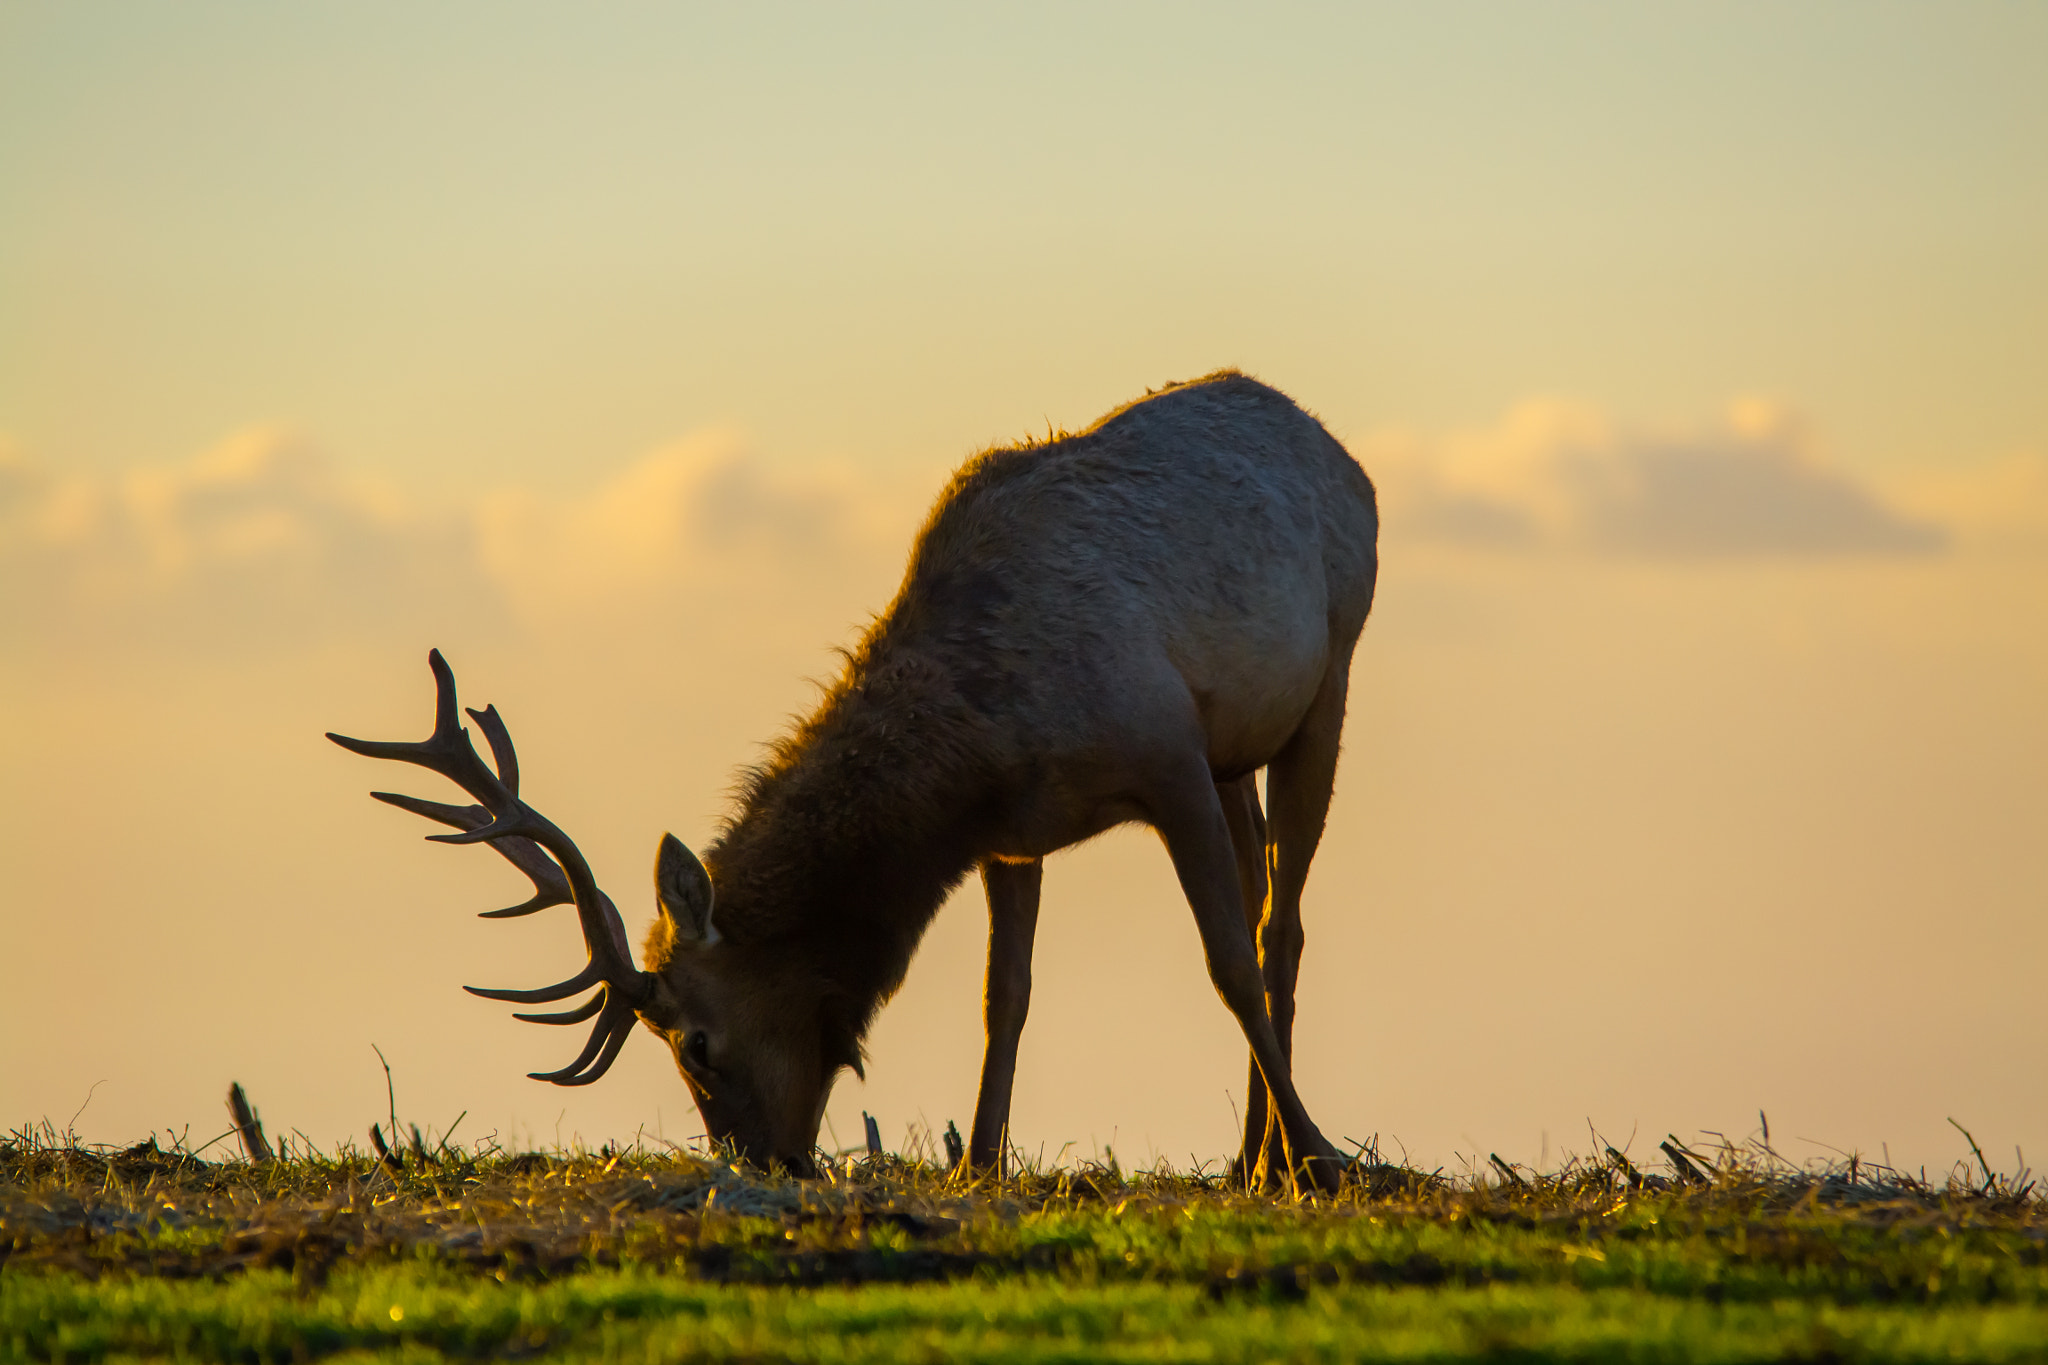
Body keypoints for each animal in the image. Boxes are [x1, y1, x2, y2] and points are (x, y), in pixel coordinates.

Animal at [330, 370, 1378, 1192]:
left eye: (694, 1041)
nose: (765, 1159)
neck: (979, 742)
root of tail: (1340, 453)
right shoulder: (1017, 832)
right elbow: (1006, 995)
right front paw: (980, 1159)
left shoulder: (1166, 754)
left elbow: (1228, 961)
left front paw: (1324, 1157)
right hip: (1237, 747)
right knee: (1264, 891)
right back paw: (1249, 1155)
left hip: (1327, 677)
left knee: (1279, 920)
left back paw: (1285, 1154)